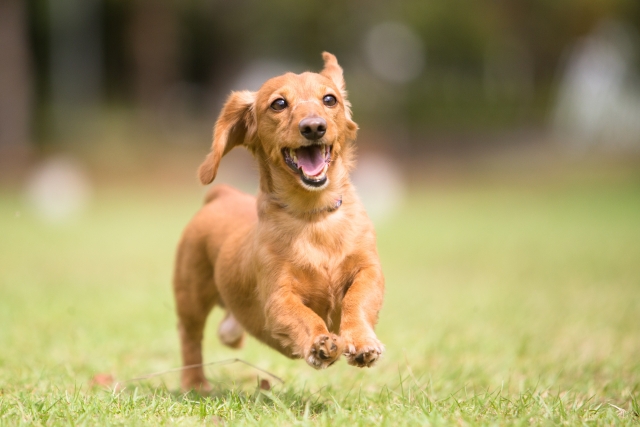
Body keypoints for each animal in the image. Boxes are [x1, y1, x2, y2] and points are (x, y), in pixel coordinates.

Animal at [171, 52, 384, 392]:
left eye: (329, 99)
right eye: (279, 104)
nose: (314, 127)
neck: (313, 217)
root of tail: (222, 194)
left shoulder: (369, 271)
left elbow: (358, 299)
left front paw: (362, 341)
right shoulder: (278, 298)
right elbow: (304, 316)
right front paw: (319, 343)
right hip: (190, 296)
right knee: (190, 337)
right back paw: (195, 383)